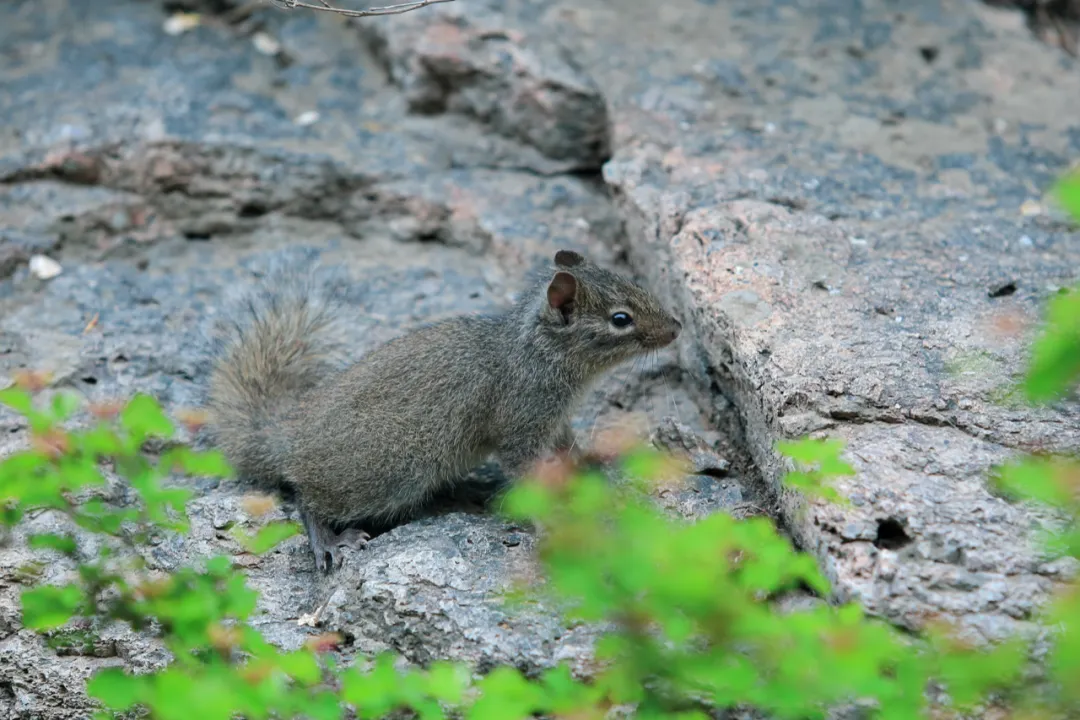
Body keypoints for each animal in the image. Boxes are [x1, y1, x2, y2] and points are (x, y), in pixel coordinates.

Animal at [205, 250, 678, 569]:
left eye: (633, 283)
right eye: (621, 319)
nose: (676, 328)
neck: (537, 353)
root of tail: (287, 434)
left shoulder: (556, 421)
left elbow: (570, 450)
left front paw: (593, 464)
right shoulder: (520, 430)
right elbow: (528, 477)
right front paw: (551, 523)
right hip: (390, 474)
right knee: (306, 499)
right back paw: (329, 542)